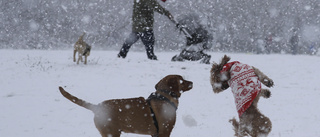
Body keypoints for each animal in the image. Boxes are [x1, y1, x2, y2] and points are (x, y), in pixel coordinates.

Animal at [58, 75, 192, 137]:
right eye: (182, 80)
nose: (192, 82)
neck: (165, 96)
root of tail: (97, 107)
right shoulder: (165, 131)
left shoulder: (155, 133)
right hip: (111, 133)